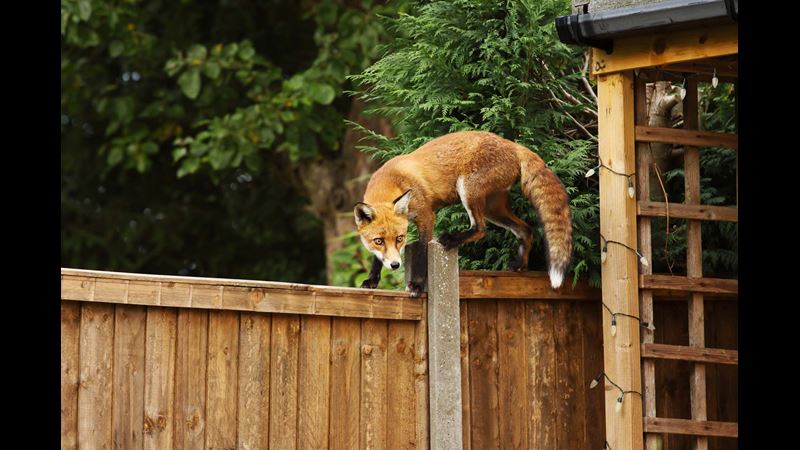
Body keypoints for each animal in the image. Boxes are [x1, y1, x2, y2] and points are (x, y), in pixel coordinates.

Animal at [354, 130, 572, 297]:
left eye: (400, 238)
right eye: (378, 241)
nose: (395, 265)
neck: (393, 180)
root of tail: (512, 144)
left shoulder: (427, 217)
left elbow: (423, 253)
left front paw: (417, 284)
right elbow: (376, 258)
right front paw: (372, 280)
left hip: (468, 191)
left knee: (480, 229)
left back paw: (452, 239)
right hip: (494, 209)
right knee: (525, 229)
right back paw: (520, 264)